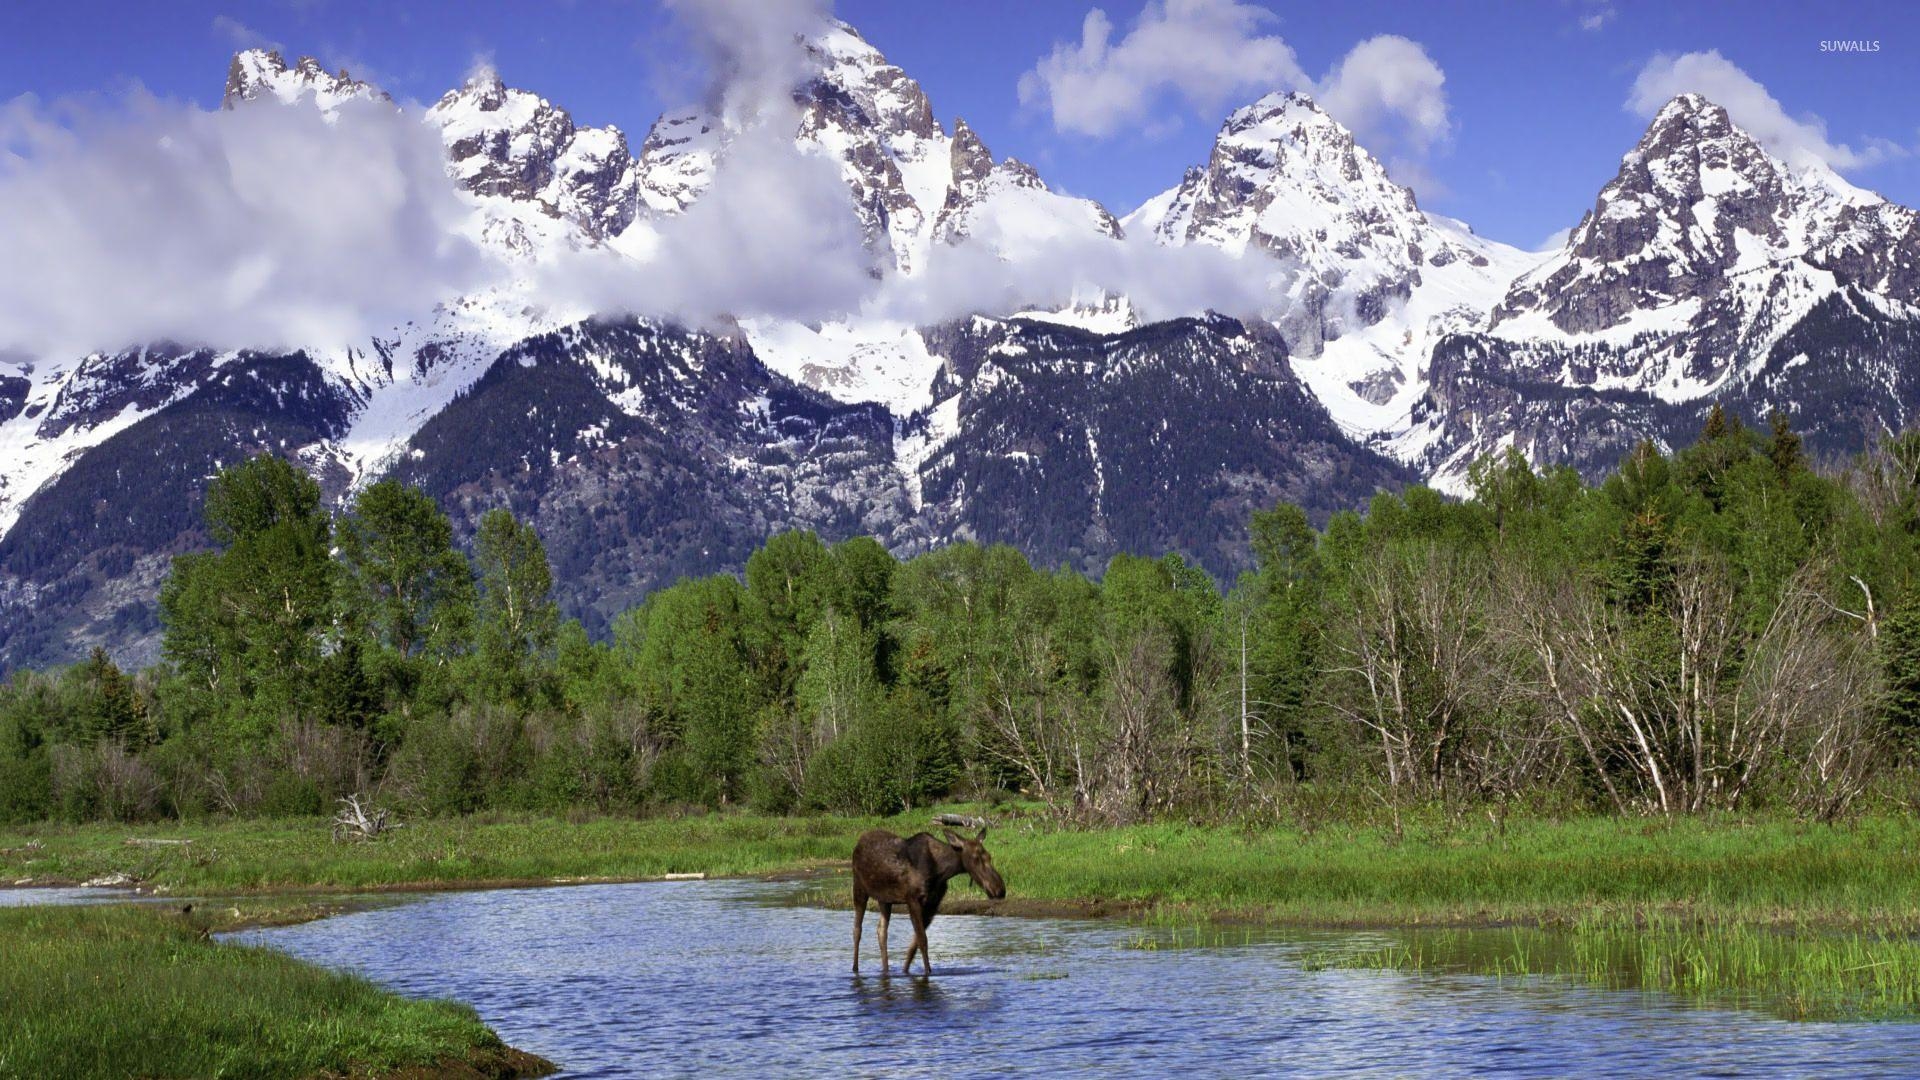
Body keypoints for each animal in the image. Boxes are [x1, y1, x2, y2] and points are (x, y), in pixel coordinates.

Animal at [852, 810, 1006, 972]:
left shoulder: (933, 903)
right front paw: (927, 971)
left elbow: (914, 944)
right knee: (857, 929)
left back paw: (886, 969)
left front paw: (905, 970)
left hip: (884, 899)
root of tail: (857, 844)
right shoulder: (912, 899)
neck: (941, 871)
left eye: (989, 856)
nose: (999, 889)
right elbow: (922, 940)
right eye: (976, 858)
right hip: (859, 887)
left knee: (881, 931)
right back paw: (855, 968)